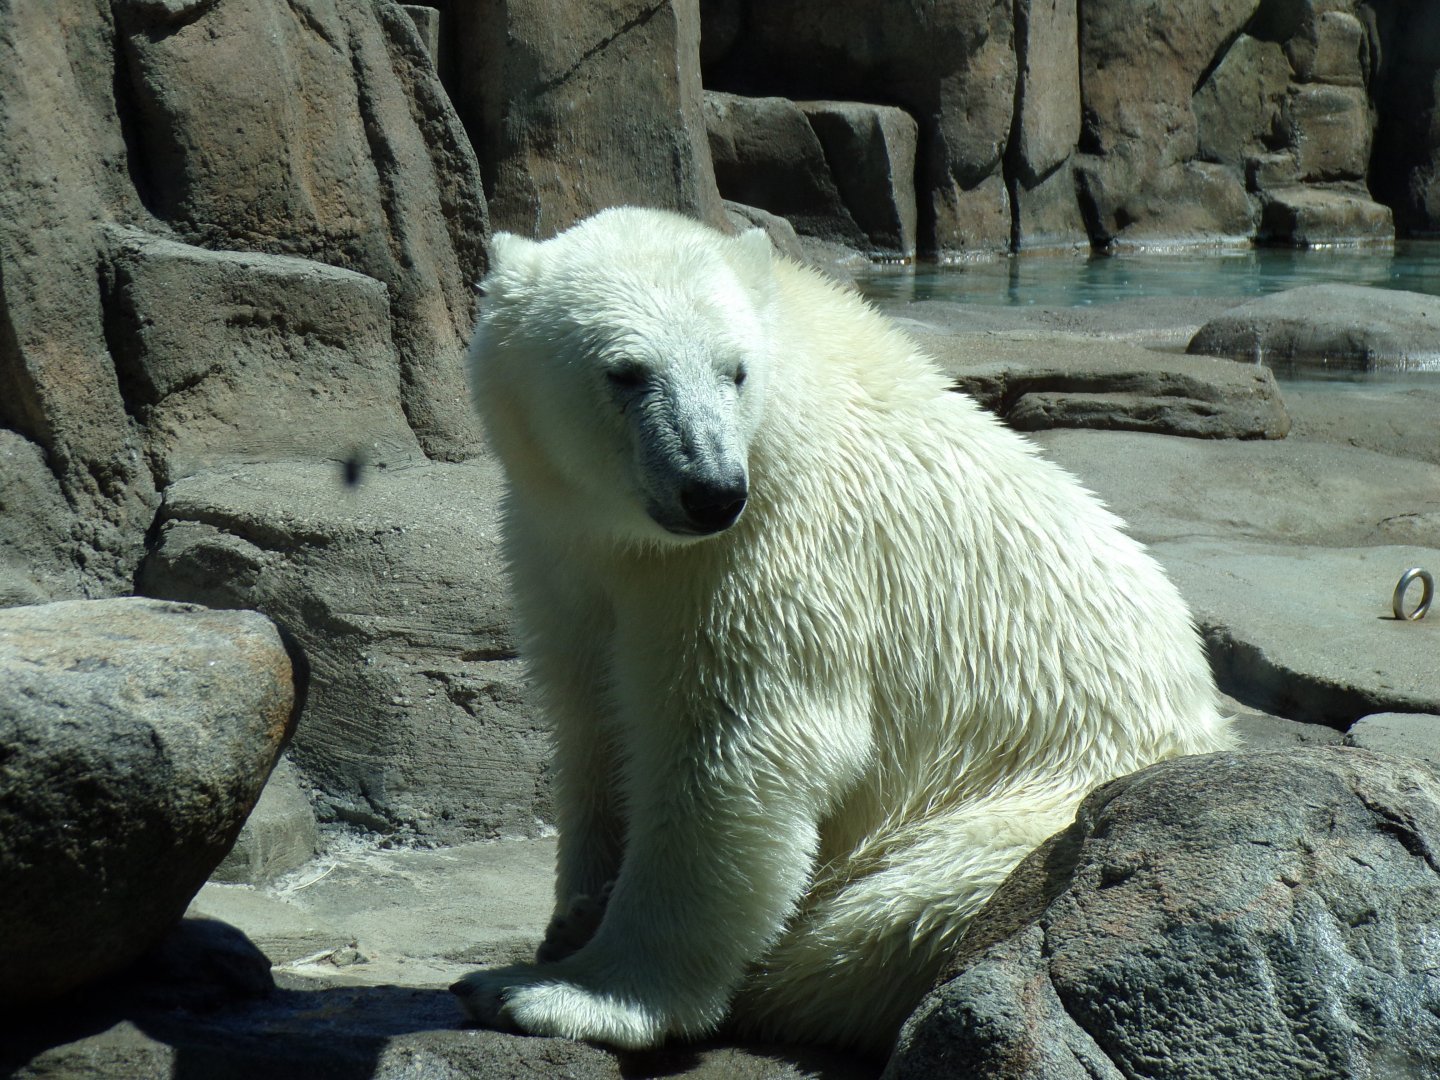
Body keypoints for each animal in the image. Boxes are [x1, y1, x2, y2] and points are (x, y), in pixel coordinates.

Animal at [451, 206, 1234, 1057]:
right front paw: (572, 915)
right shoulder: (565, 553)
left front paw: (560, 991)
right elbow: (592, 722)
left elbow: (735, 747)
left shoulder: (773, 548)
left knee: (888, 916)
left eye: (734, 370)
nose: (709, 490)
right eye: (625, 372)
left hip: (1030, 809)